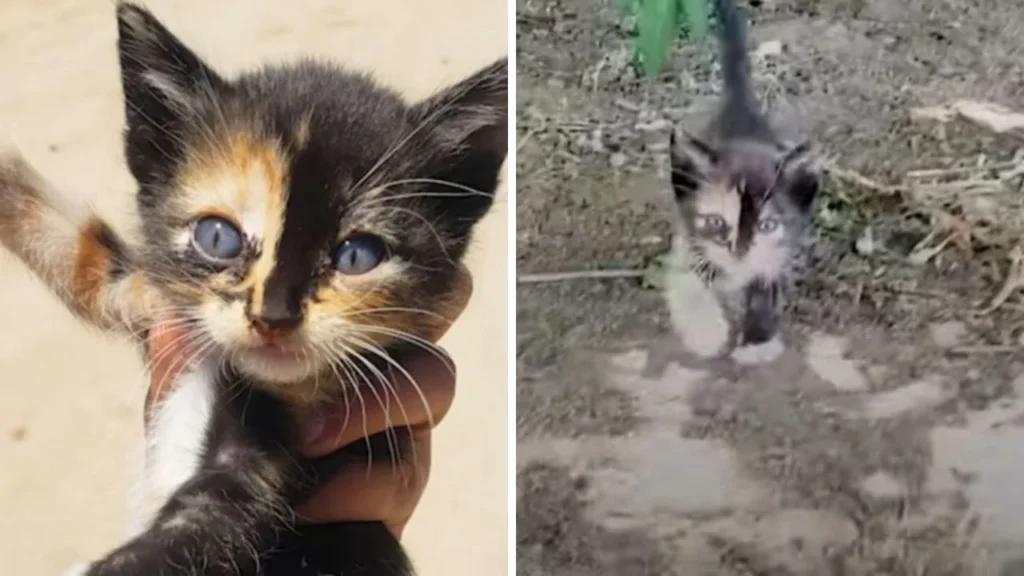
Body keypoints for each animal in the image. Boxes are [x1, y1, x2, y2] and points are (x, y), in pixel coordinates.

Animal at [0, 2, 507, 569]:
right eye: (217, 237)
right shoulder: (145, 298)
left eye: (357, 256)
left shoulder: (288, 458)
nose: (274, 316)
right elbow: (79, 251)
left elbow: (216, 522)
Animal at [663, 0, 823, 362]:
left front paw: (758, 338)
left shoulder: (782, 250)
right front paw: (705, 331)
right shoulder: (687, 235)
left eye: (766, 226)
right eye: (715, 221)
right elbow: (691, 277)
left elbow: (768, 284)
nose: (739, 252)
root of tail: (740, 110)